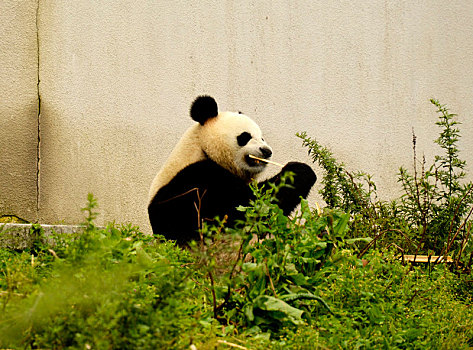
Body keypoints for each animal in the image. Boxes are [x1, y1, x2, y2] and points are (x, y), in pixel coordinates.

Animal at [149, 94, 316, 245]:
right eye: (245, 136)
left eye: (262, 138)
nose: (266, 151)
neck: (201, 148)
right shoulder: (197, 179)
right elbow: (245, 207)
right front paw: (300, 172)